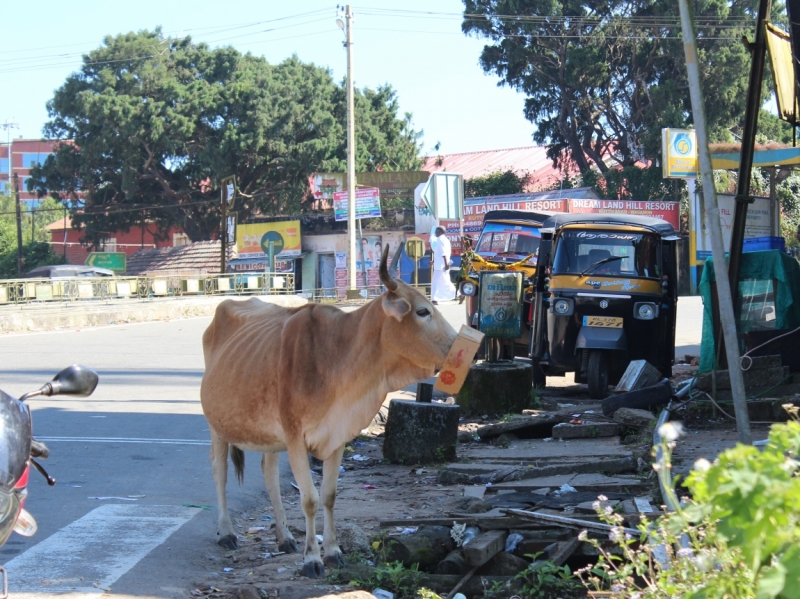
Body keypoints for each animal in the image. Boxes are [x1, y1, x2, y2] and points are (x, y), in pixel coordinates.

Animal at [200, 246, 456, 580]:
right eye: (422, 312)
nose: (460, 346)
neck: (338, 356)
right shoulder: (296, 438)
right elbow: (308, 499)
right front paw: (312, 558)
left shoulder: (337, 436)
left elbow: (329, 496)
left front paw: (333, 552)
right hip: (217, 426)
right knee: (219, 472)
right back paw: (227, 532)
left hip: (270, 436)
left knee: (269, 474)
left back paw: (284, 537)